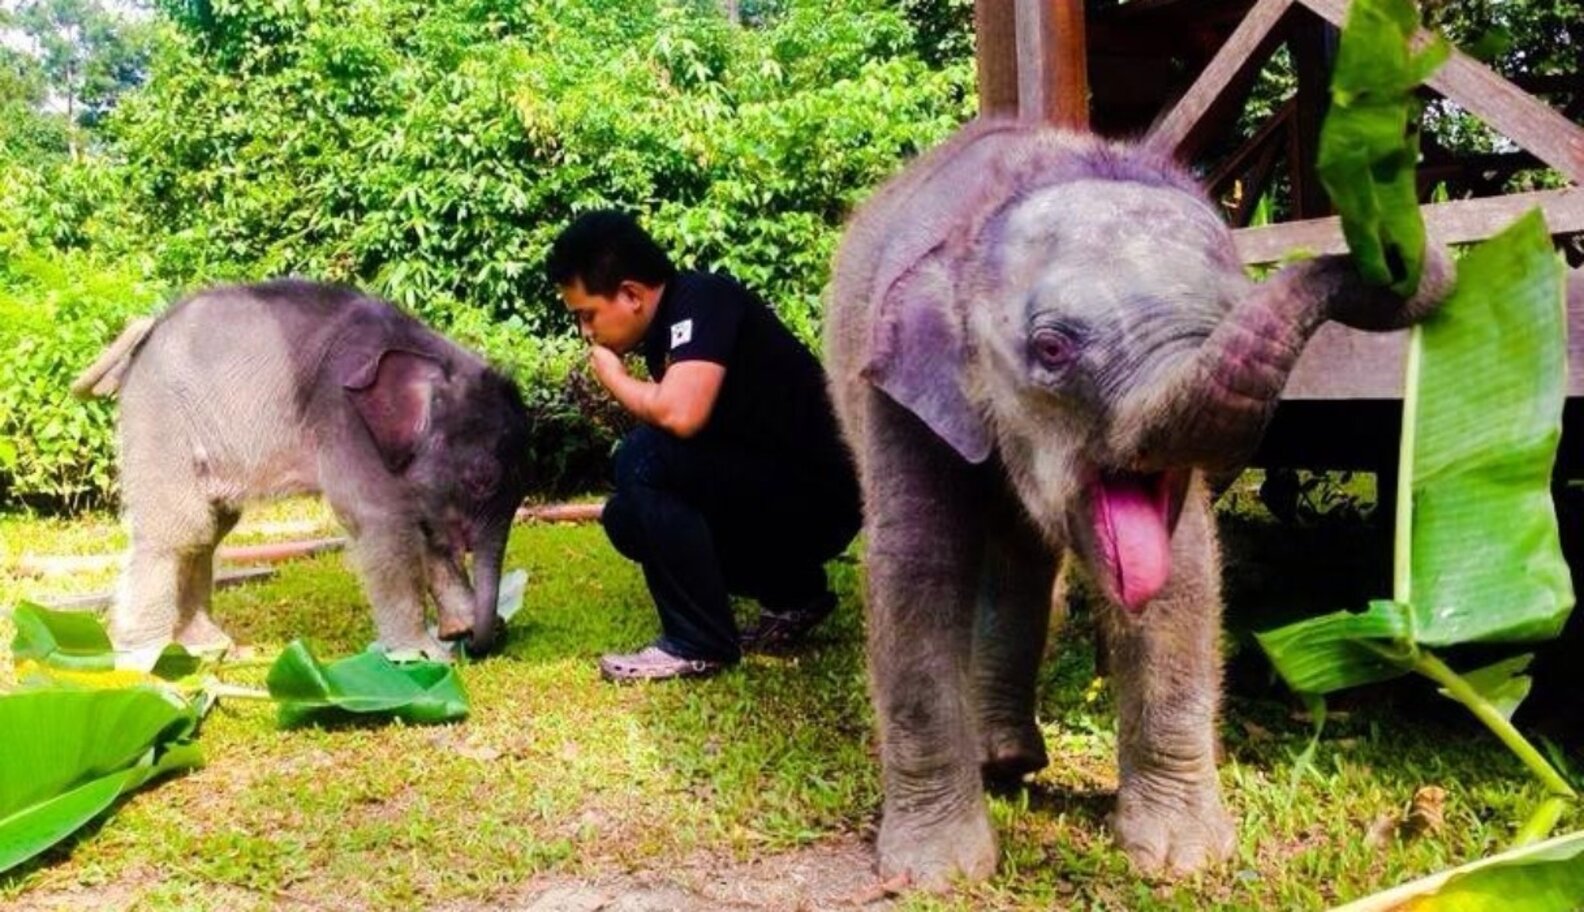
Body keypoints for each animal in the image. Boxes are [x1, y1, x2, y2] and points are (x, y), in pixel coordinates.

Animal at [72, 279, 532, 662]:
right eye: (481, 480)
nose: (483, 641)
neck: (429, 353)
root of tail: (147, 330)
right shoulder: (343, 418)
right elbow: (380, 524)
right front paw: (424, 654)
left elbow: (425, 526)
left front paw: (459, 629)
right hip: (160, 419)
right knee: (180, 531)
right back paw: (149, 656)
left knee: (209, 529)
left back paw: (209, 645)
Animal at [824, 119, 1452, 887]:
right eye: (1052, 348)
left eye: (1227, 316)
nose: (1392, 257)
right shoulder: (897, 390)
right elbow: (916, 568)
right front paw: (937, 875)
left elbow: (1184, 574)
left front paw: (1181, 862)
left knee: (1024, 563)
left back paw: (1008, 759)